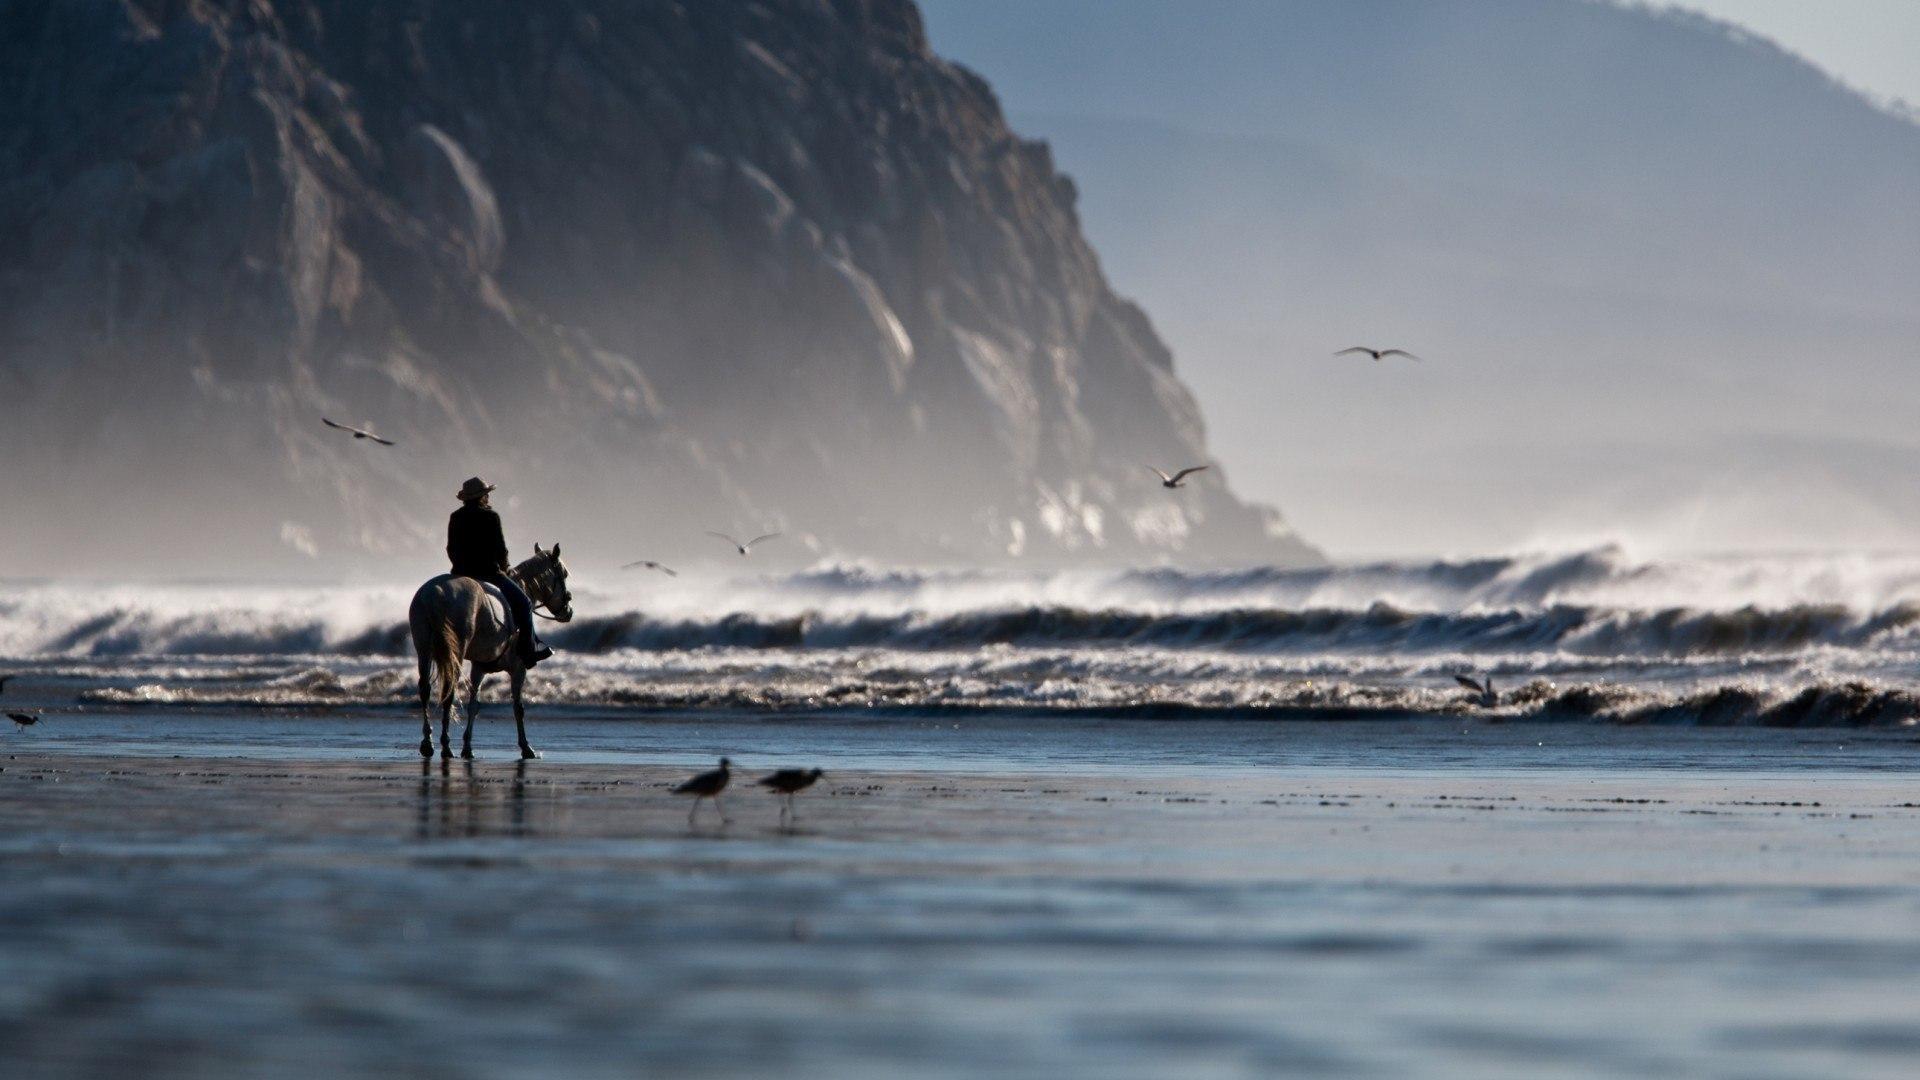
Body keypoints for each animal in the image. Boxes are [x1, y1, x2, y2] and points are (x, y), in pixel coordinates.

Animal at [407, 538, 572, 757]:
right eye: (564, 574)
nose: (568, 611)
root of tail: (434, 594)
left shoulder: (479, 668)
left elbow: (473, 705)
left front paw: (467, 747)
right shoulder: (518, 668)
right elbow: (518, 707)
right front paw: (526, 746)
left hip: (423, 648)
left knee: (425, 689)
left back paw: (428, 742)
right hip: (456, 651)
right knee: (449, 690)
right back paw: (445, 745)